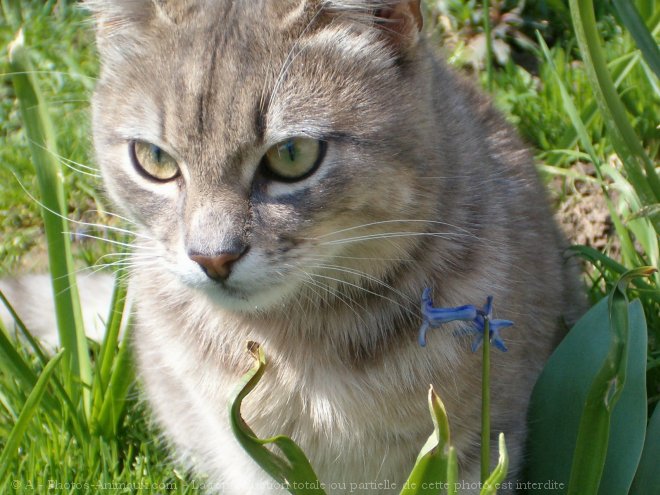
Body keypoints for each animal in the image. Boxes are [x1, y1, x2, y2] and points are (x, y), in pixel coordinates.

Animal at [85, 0, 580, 494]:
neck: (304, 342)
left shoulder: (479, 444)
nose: (213, 258)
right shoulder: (249, 460)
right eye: (154, 159)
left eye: (291, 154)